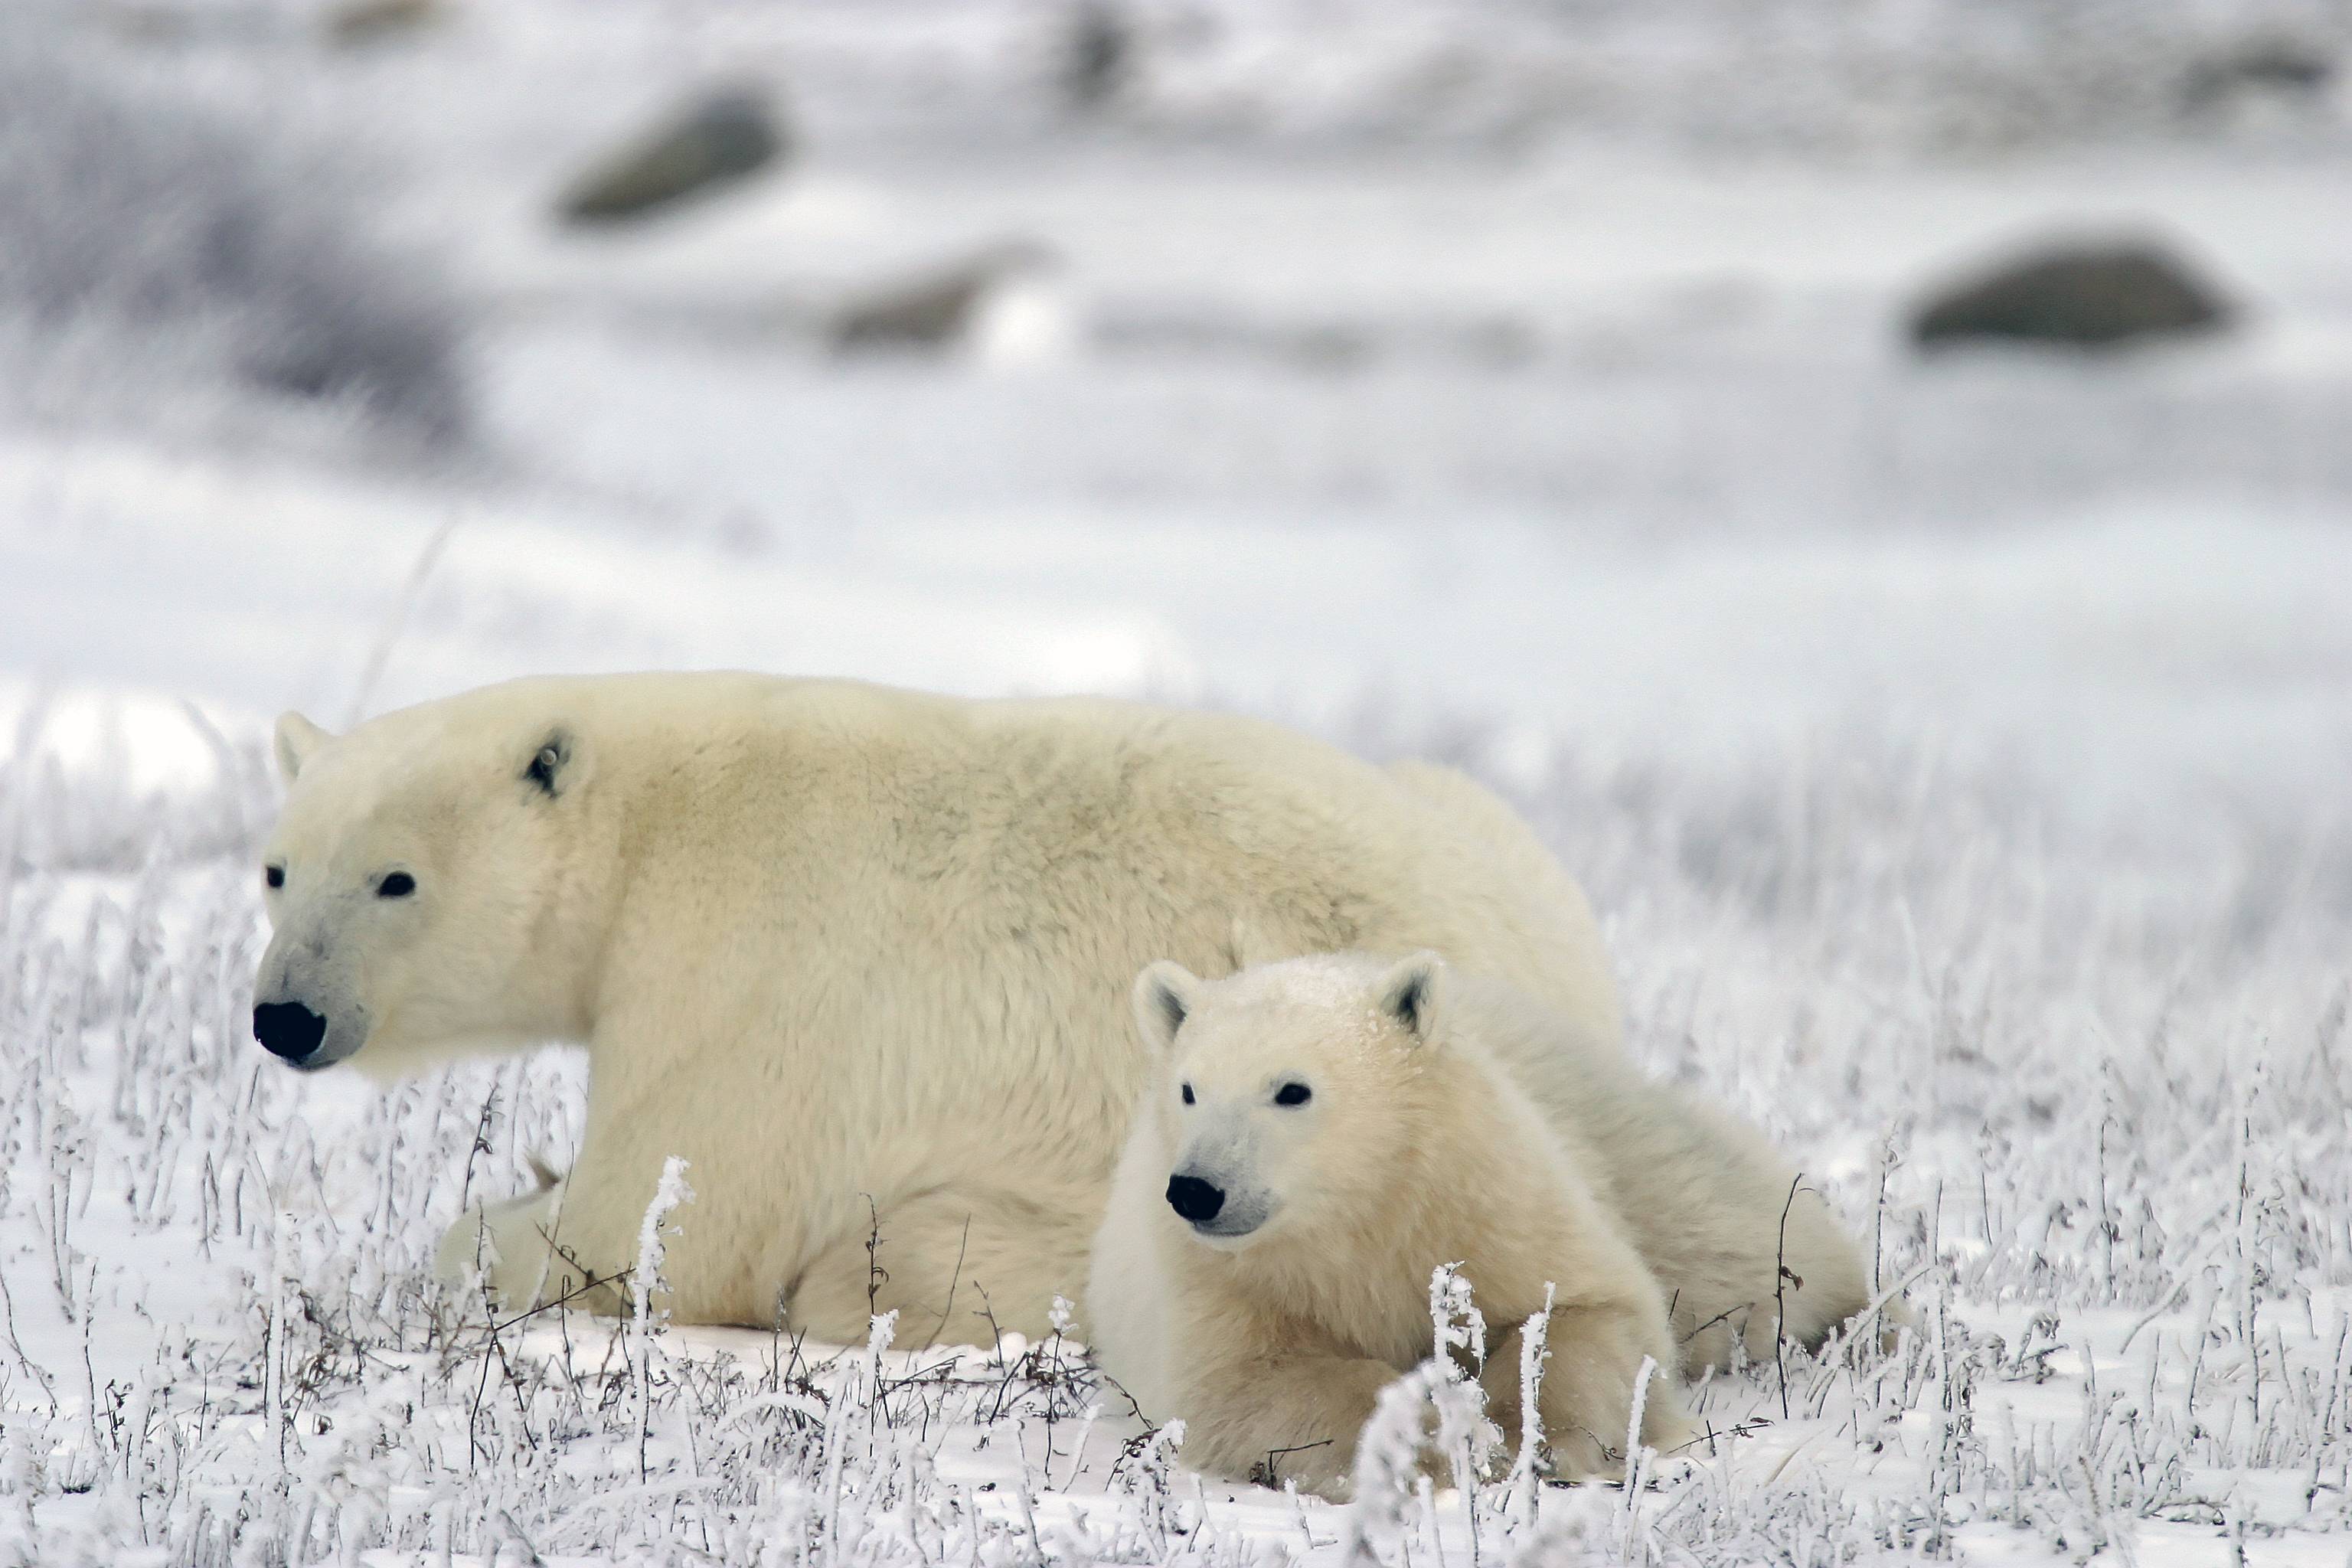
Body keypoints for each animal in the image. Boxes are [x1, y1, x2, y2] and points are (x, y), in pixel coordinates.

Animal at [251, 672, 1622, 1346]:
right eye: (276, 868)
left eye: (394, 879)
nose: (285, 1017)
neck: (660, 818)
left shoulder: (747, 975)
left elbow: (653, 1226)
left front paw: (510, 1225)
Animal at [1084, 951, 1877, 1497]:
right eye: (1189, 1089)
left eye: (1291, 1090)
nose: (1196, 1191)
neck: (1355, 1213)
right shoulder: (1222, 1278)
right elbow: (1258, 1382)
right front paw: (1437, 1449)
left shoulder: (1483, 1193)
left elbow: (1583, 1312)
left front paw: (1533, 1443)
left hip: (1621, 1137)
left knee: (1739, 1247)